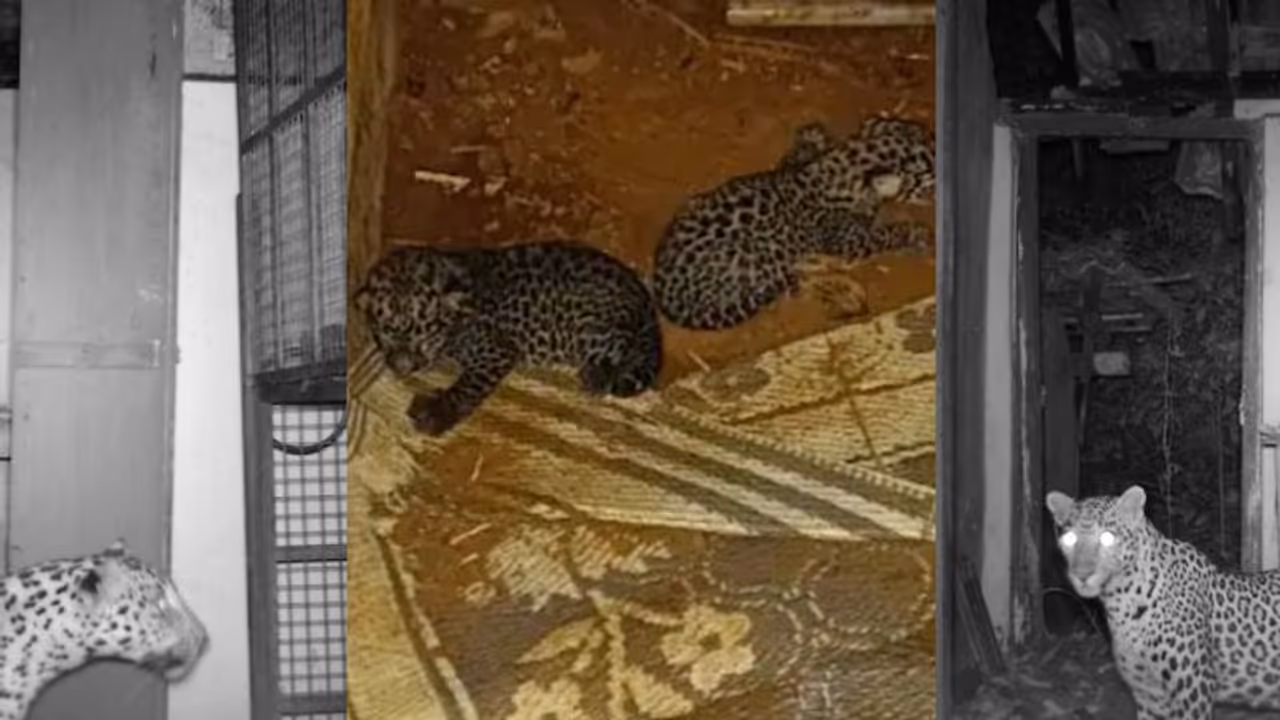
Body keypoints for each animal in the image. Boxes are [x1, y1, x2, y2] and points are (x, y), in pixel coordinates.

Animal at [353, 240, 664, 436]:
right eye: (385, 331)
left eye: (425, 332)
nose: (402, 368)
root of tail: (644, 297)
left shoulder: (495, 350)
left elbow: (469, 385)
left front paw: (438, 413)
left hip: (590, 327)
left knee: (620, 353)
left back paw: (596, 376)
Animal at [652, 116, 935, 330]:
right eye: (930, 187)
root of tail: (667, 298)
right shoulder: (848, 242)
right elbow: (884, 234)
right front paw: (916, 234)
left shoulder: (790, 168)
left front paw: (812, 136)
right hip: (761, 255)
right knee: (793, 284)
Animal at [1046, 485, 1280, 720]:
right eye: (1069, 539)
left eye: (1107, 537)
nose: (1081, 575)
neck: (1120, 602)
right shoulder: (1150, 697)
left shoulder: (1193, 693)